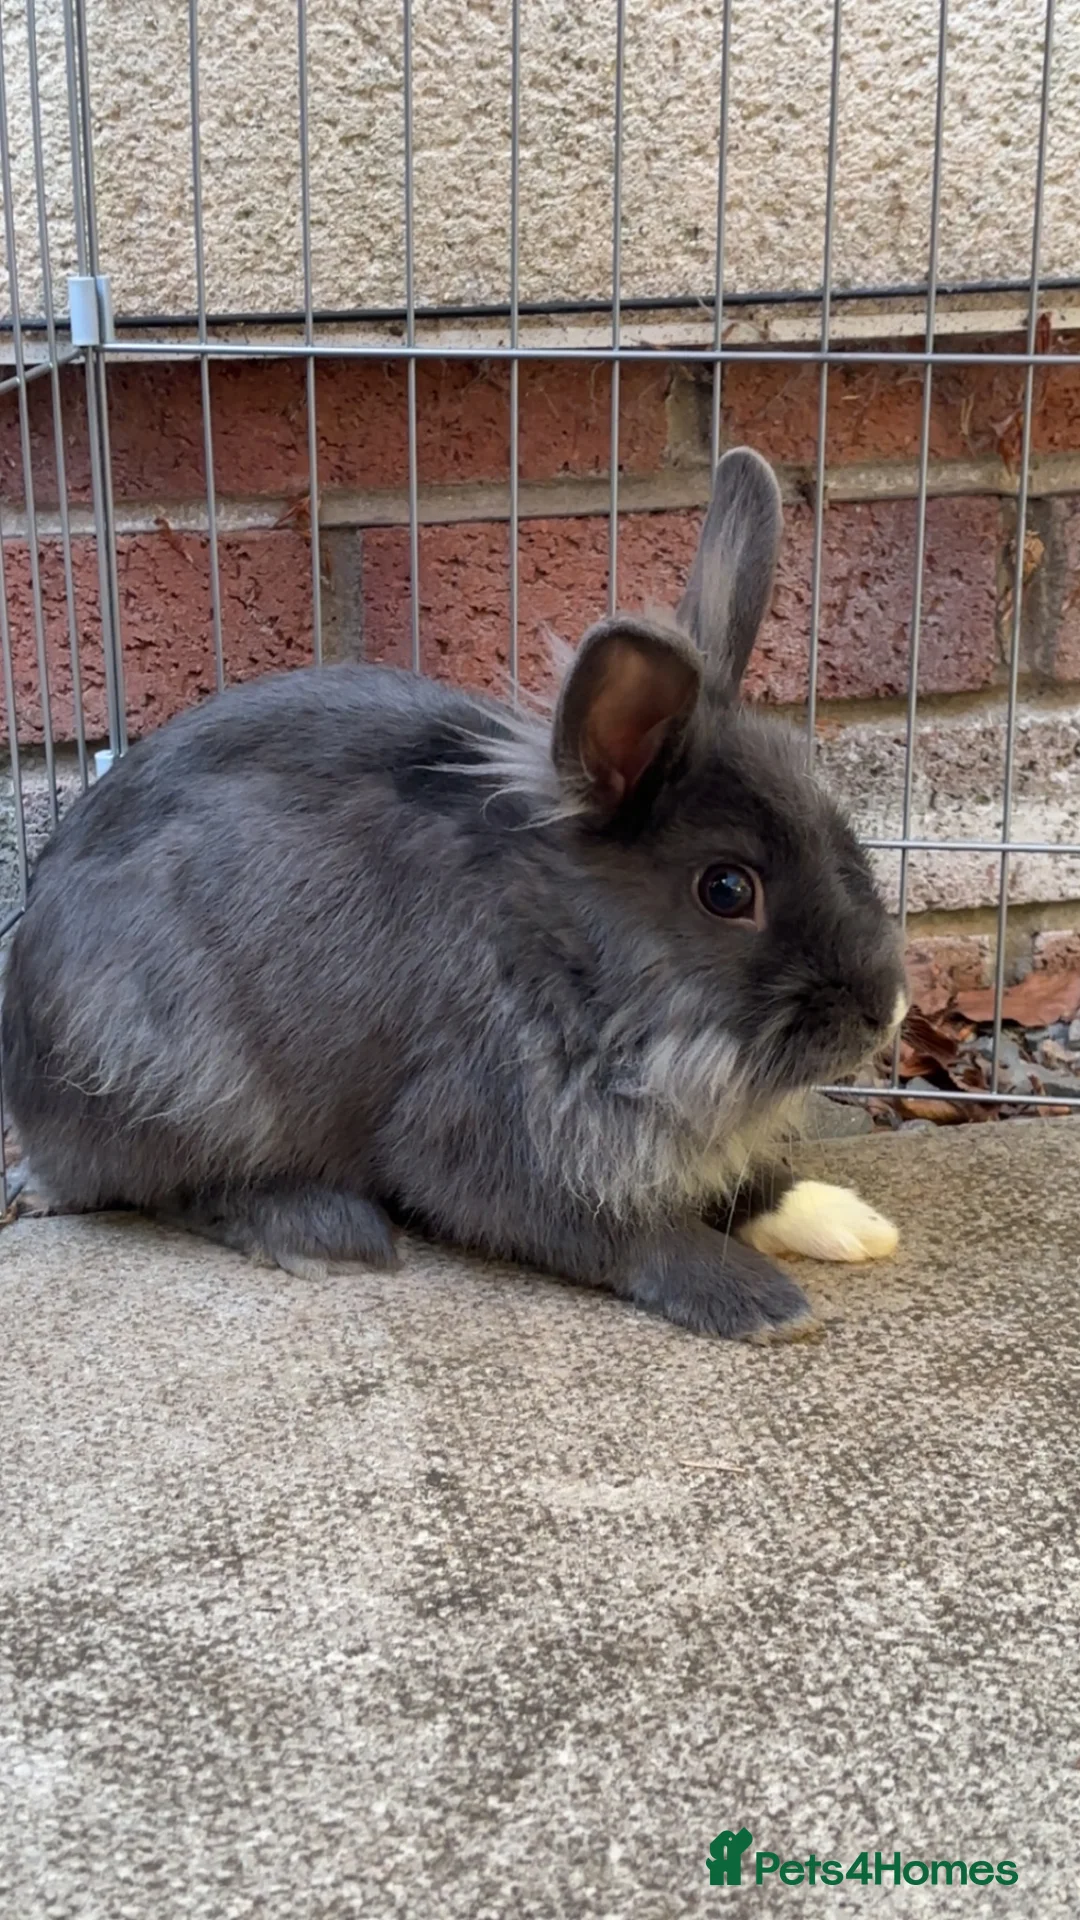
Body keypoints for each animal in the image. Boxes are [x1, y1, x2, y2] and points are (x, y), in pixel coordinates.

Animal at [1, 447, 907, 1341]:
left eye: (842, 833)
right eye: (726, 888)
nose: (886, 1009)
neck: (558, 952)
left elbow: (735, 1186)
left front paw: (847, 1222)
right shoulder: (483, 1141)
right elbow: (617, 1230)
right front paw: (762, 1302)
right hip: (174, 1071)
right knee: (166, 1184)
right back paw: (323, 1230)